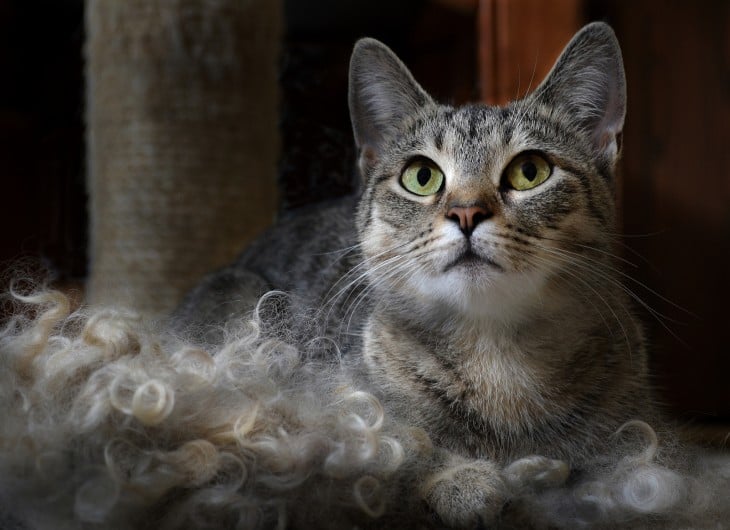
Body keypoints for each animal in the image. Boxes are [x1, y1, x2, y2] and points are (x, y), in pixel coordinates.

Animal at [175, 21, 672, 528]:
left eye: (530, 171)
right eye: (421, 176)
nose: (467, 211)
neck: (497, 357)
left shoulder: (642, 430)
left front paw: (539, 473)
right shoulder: (333, 408)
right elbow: (395, 444)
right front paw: (466, 478)